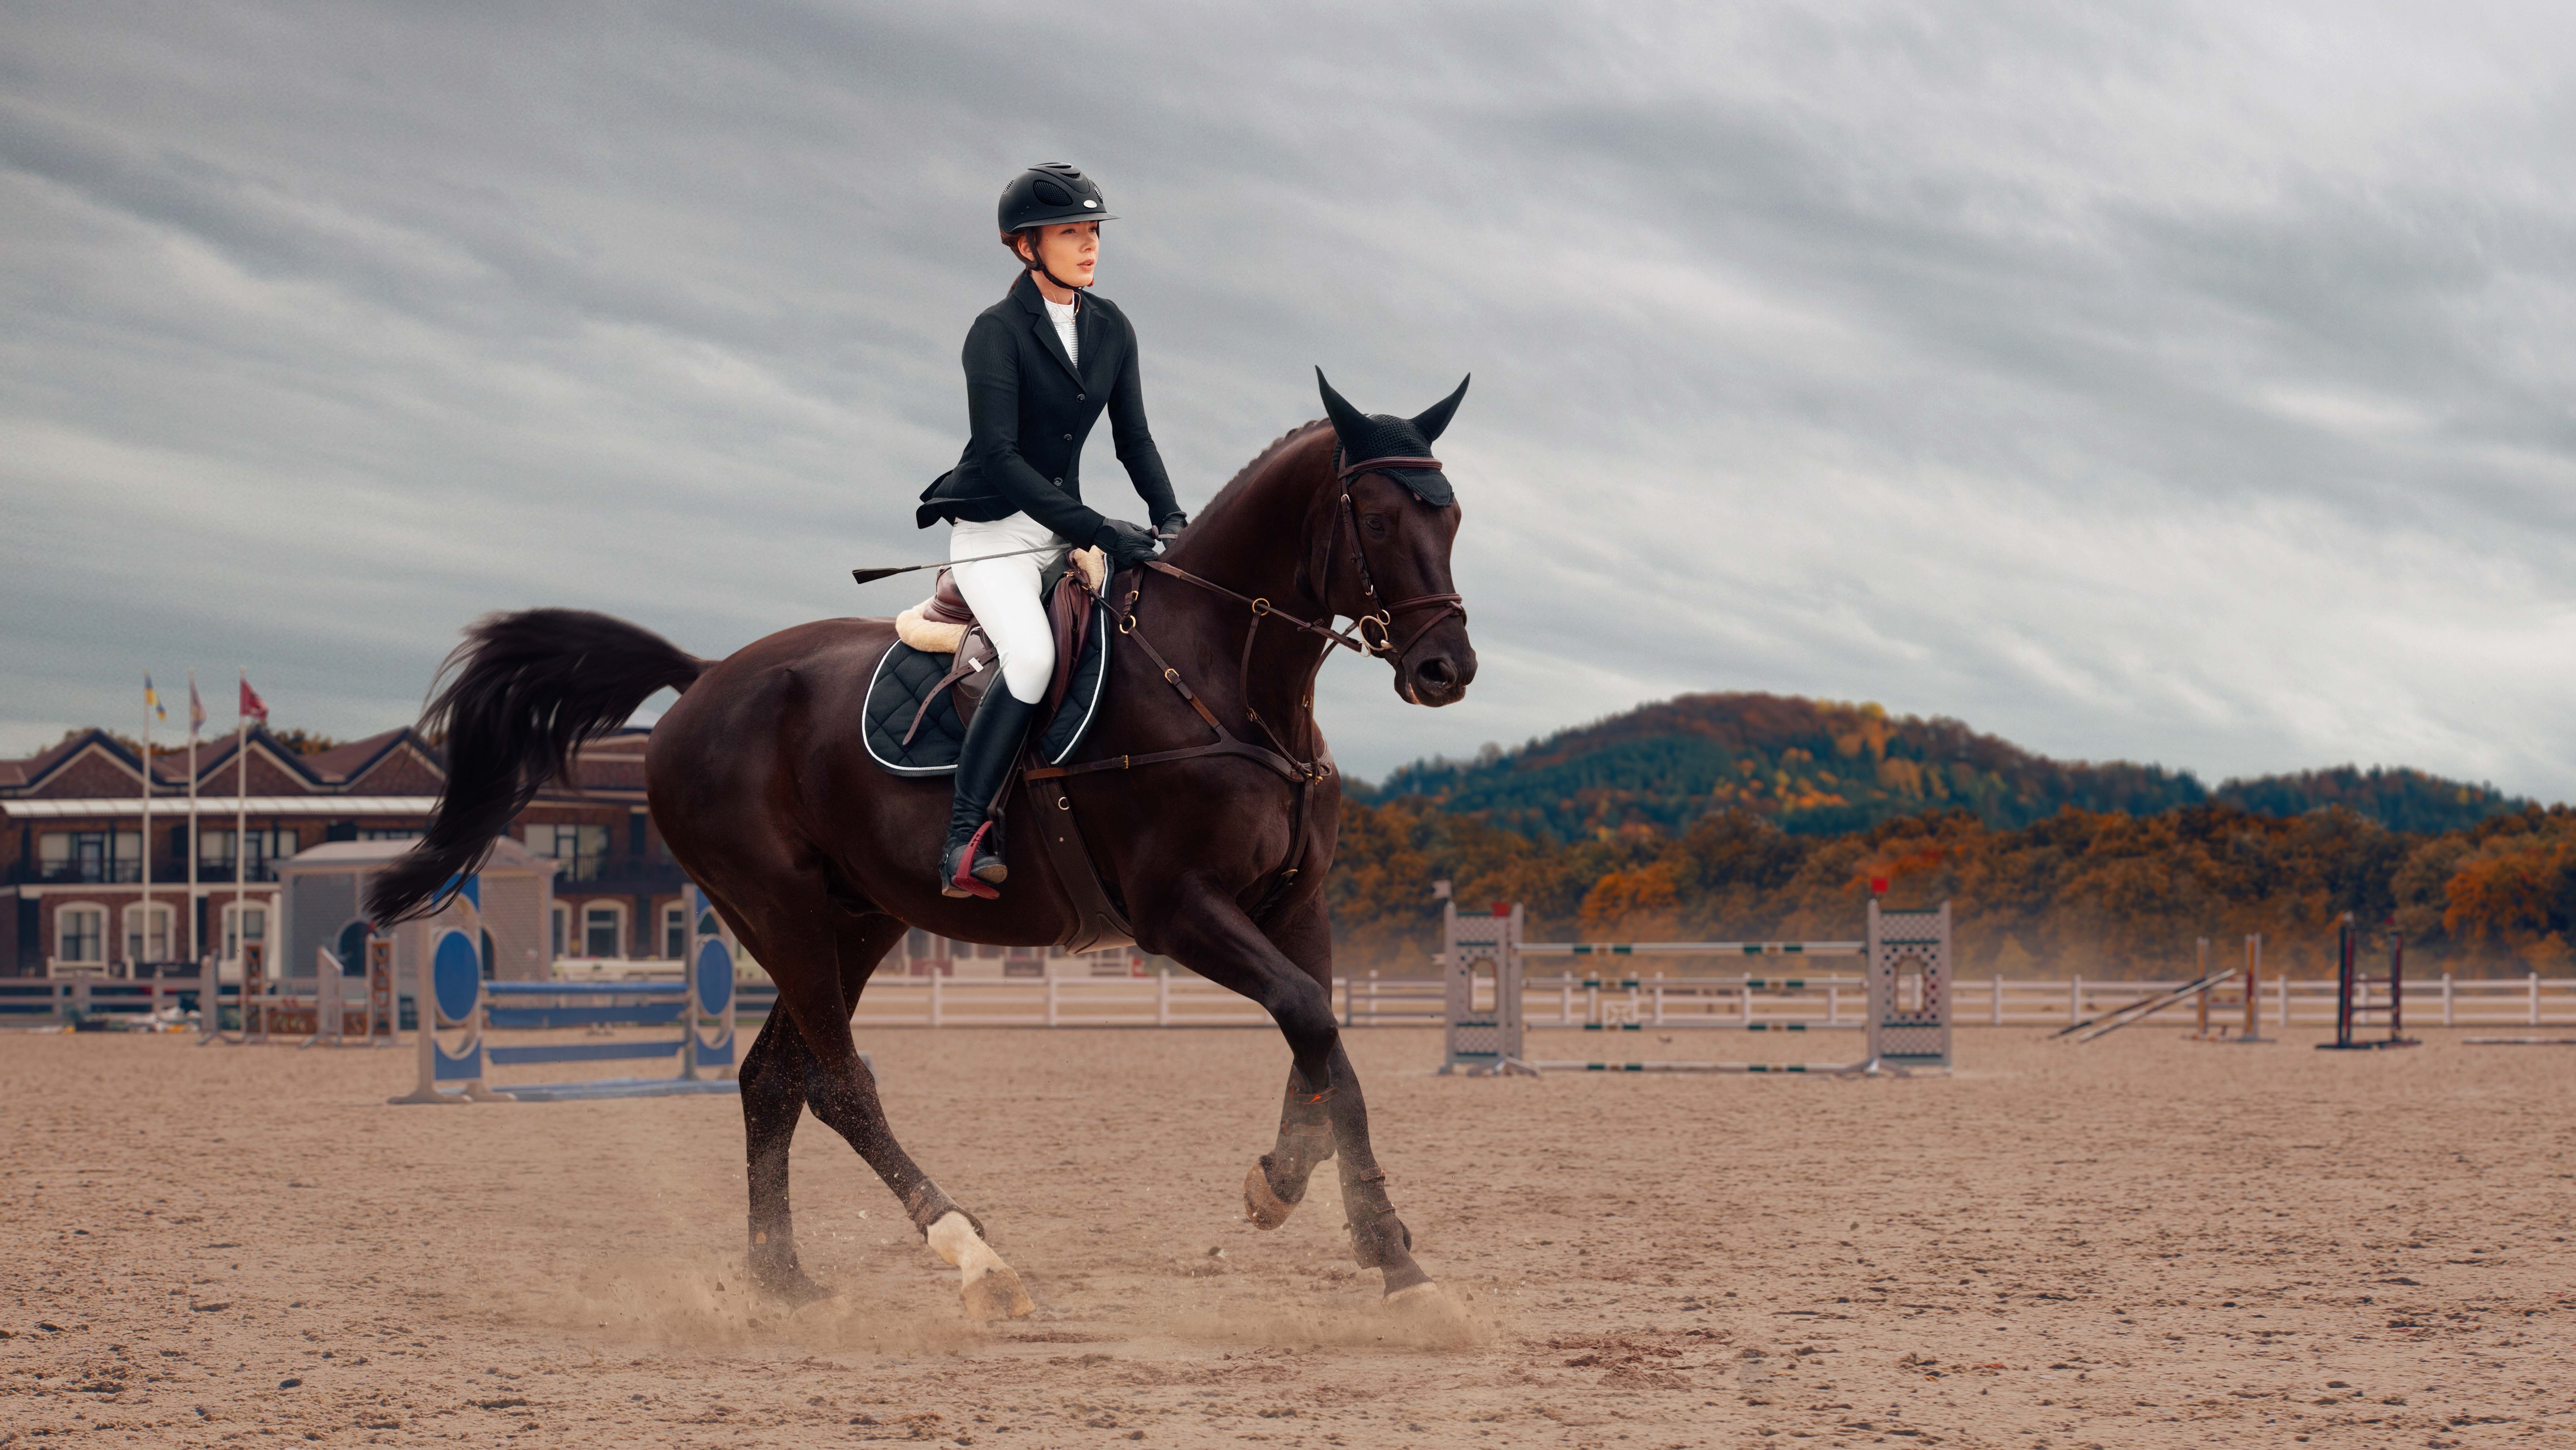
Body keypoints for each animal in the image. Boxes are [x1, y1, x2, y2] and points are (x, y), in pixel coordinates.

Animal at [365, 372, 1478, 1317]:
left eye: (1454, 515)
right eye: (1380, 519)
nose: (1447, 667)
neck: (1227, 679)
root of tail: (704, 676)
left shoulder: (1295, 902)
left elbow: (1322, 1044)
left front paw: (1306, 1199)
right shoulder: (1179, 909)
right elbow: (1312, 1024)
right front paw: (1383, 1252)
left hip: (856, 917)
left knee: (774, 1081)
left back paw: (784, 1281)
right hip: (779, 908)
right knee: (839, 1082)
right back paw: (973, 1255)